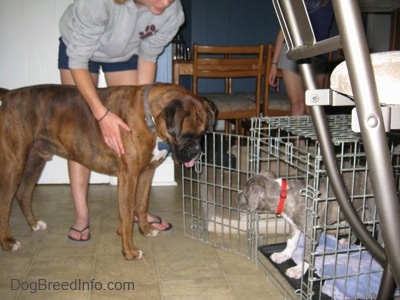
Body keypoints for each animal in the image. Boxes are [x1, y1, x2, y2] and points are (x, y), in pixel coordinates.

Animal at [0, 82, 216, 260]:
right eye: (186, 136)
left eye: (203, 134)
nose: (197, 152)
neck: (149, 118)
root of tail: (10, 94)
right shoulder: (128, 177)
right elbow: (127, 216)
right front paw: (129, 251)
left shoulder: (146, 174)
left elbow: (141, 204)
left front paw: (146, 229)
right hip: (14, 163)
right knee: (5, 203)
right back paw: (8, 242)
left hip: (35, 160)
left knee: (23, 193)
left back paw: (34, 224)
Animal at [236, 169, 382, 278]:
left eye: (245, 191)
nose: (237, 195)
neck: (284, 194)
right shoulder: (294, 225)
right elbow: (291, 242)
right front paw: (283, 255)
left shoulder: (312, 232)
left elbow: (306, 254)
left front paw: (298, 270)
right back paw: (347, 242)